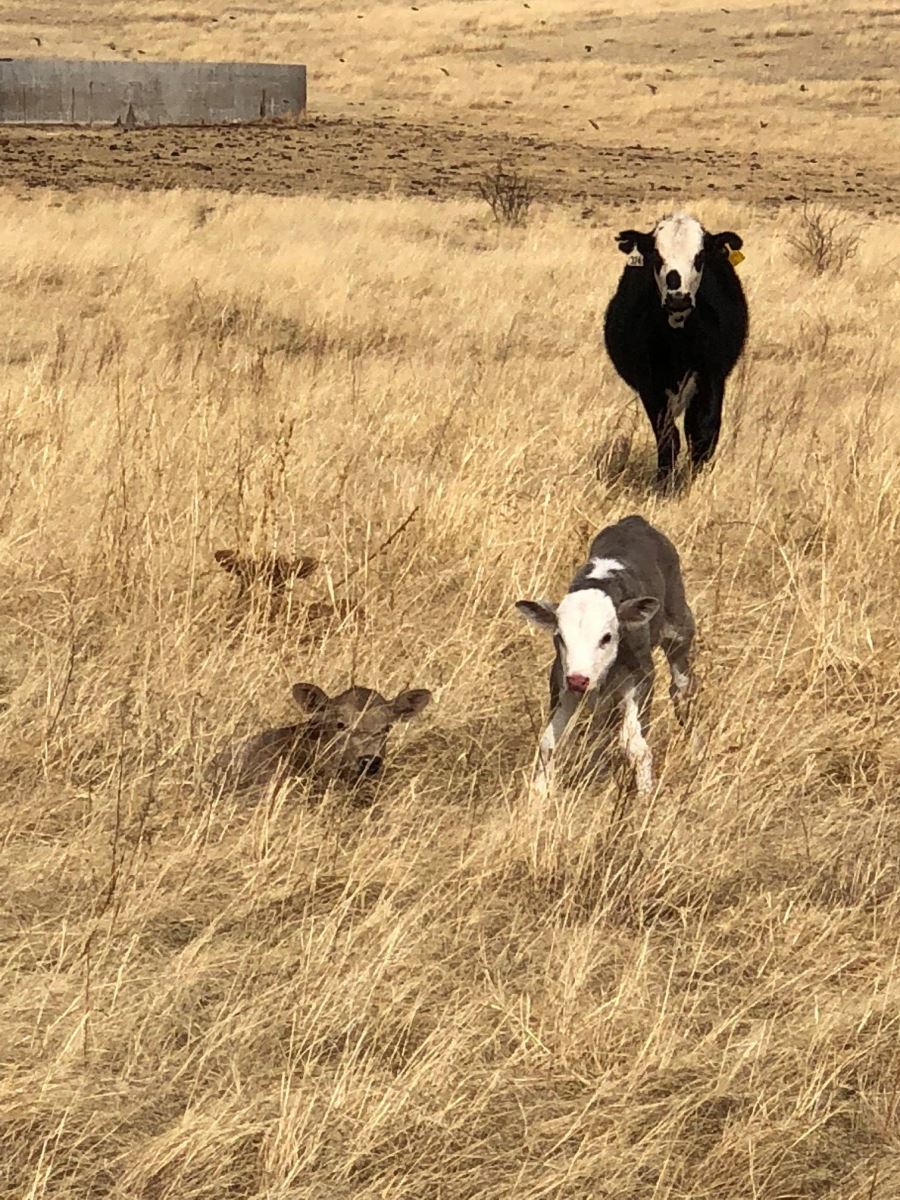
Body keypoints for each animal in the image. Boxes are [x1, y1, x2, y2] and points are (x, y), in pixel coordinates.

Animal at [515, 515, 695, 797]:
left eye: (607, 637)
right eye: (560, 637)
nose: (579, 680)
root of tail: (635, 520)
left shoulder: (642, 674)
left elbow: (635, 745)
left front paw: (643, 797)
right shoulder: (561, 677)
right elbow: (550, 742)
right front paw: (539, 795)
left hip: (680, 629)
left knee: (681, 688)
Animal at [603, 212, 748, 487]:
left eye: (700, 257)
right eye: (657, 256)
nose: (677, 298)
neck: (679, 342)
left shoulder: (711, 378)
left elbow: (703, 435)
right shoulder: (651, 386)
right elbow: (667, 439)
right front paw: (664, 484)